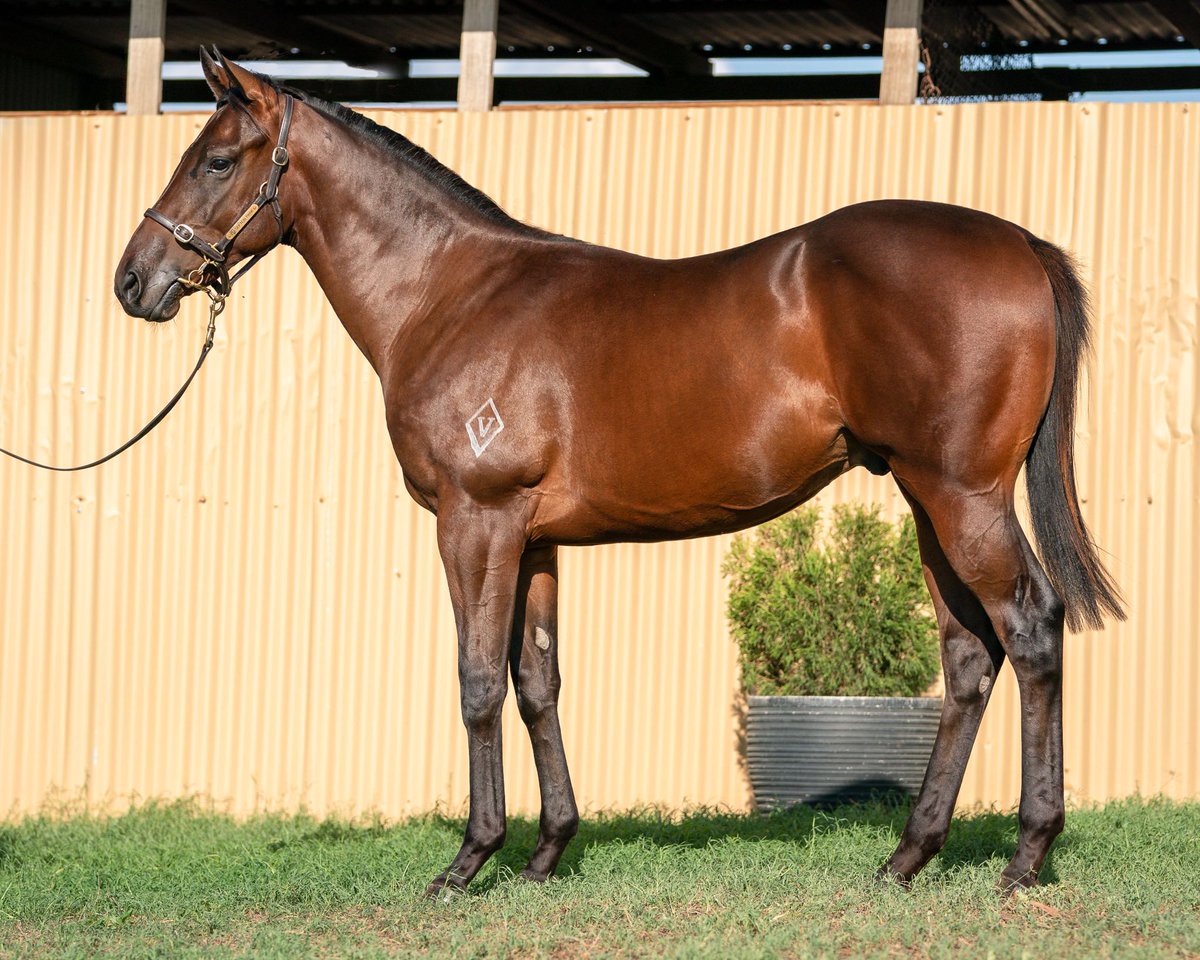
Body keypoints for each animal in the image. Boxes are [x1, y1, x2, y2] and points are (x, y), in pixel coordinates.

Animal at [114, 49, 1124, 898]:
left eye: (216, 160)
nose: (134, 281)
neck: (448, 293)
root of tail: (1021, 246)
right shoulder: (534, 538)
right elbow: (537, 681)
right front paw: (546, 853)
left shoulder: (474, 520)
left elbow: (477, 680)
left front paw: (470, 861)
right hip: (929, 500)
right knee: (969, 657)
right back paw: (908, 857)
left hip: (962, 498)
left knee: (1031, 627)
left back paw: (1026, 858)